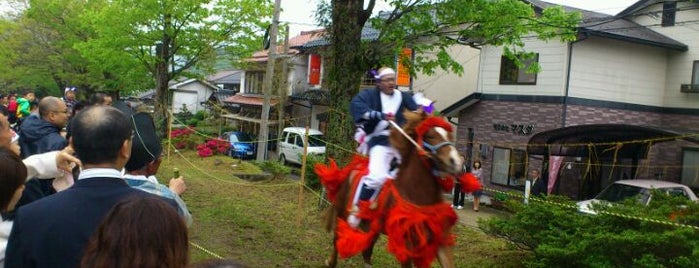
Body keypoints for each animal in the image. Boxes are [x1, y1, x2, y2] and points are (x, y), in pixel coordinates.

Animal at [314, 110, 478, 266]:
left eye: (449, 136)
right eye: (430, 136)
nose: (456, 162)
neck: (417, 196)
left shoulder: (440, 242)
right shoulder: (406, 246)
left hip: (371, 226)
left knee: (367, 251)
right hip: (343, 215)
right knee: (337, 241)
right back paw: (331, 261)